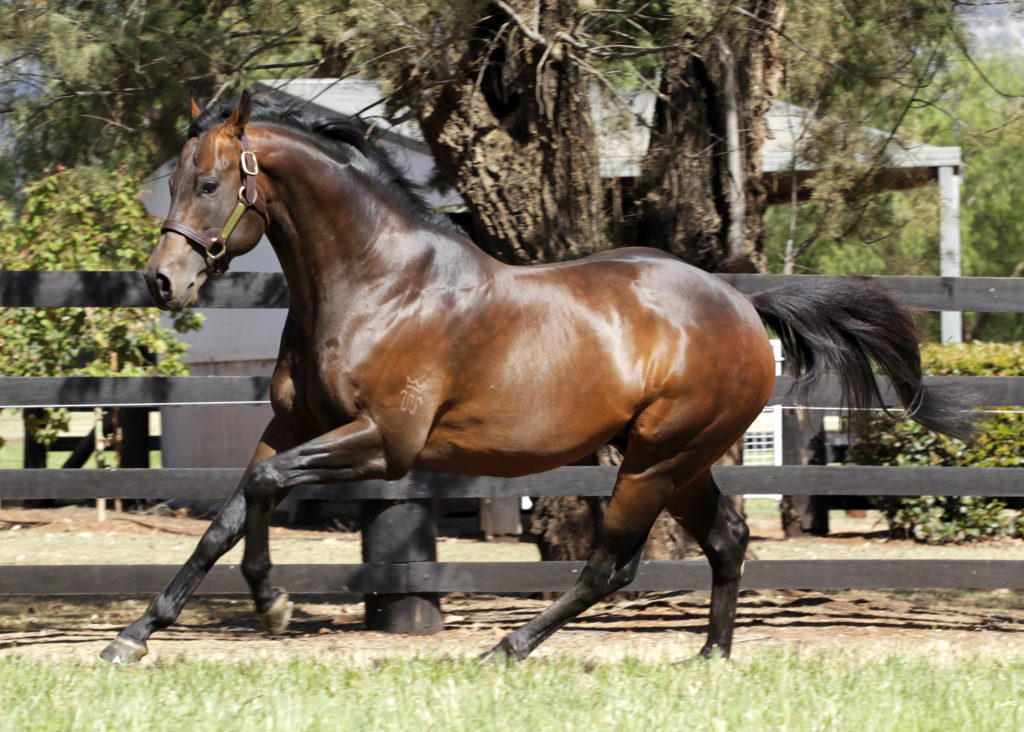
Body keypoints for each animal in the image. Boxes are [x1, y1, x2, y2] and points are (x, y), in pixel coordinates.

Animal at [100, 91, 973, 663]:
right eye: (174, 181)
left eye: (210, 184)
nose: (164, 283)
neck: (376, 280)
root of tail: (739, 303)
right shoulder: (293, 426)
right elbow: (231, 512)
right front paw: (145, 632)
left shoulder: (385, 442)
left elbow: (263, 486)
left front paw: (270, 606)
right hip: (681, 462)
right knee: (726, 538)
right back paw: (710, 659)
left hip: (655, 459)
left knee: (611, 564)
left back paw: (508, 647)